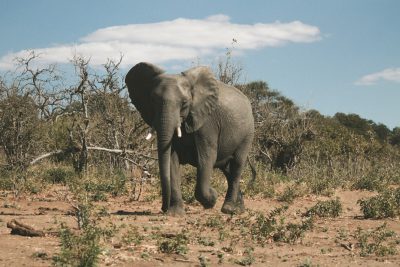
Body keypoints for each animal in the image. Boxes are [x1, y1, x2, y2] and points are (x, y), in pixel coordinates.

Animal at [125, 62, 253, 216]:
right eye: (153, 100)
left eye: (185, 103)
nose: (163, 208)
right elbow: (171, 159)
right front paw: (174, 214)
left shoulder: (207, 122)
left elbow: (206, 158)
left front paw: (212, 199)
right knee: (227, 169)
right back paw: (239, 209)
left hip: (247, 133)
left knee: (237, 165)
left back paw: (228, 209)